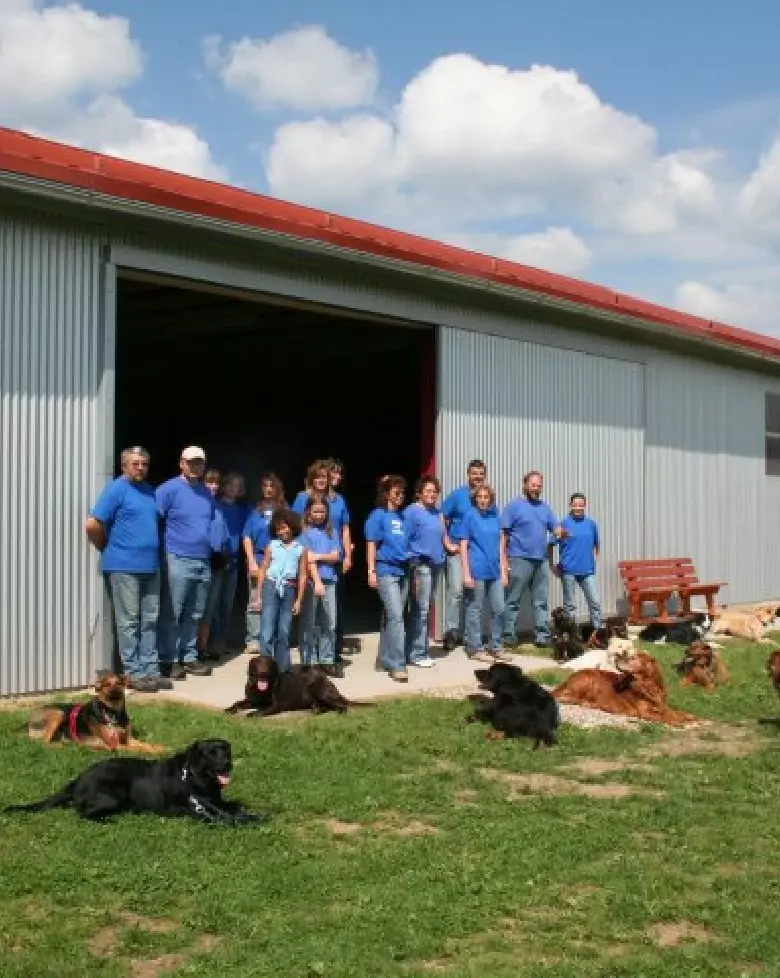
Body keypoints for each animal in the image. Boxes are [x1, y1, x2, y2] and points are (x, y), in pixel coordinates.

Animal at [4, 739, 266, 825]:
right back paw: (108, 821)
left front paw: (254, 813)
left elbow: (234, 807)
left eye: (226, 751)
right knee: (82, 813)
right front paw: (252, 819)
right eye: (211, 753)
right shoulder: (203, 812)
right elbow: (230, 818)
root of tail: (78, 778)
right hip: (115, 793)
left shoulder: (215, 802)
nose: (227, 764)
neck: (195, 777)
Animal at [26, 673, 164, 753]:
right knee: (43, 742)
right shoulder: (115, 744)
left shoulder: (130, 739)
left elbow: (146, 745)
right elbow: (136, 748)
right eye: (107, 684)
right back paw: (60, 745)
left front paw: (160, 748)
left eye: (119, 683)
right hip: (58, 713)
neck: (113, 712)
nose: (115, 690)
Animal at [225, 655, 374, 717]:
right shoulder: (251, 700)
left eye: (268, 663)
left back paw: (339, 712)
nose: (263, 673)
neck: (260, 690)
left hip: (318, 689)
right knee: (323, 707)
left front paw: (251, 713)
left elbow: (260, 711)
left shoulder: (274, 706)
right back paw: (315, 710)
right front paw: (229, 709)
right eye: (257, 663)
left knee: (342, 706)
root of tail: (326, 678)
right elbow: (238, 702)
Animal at [552, 650, 696, 725]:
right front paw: (683, 723)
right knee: (566, 698)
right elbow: (666, 718)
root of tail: (567, 680)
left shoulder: (663, 706)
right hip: (589, 678)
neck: (648, 685)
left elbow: (679, 713)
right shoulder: (644, 712)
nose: (617, 656)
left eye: (633, 658)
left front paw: (693, 718)